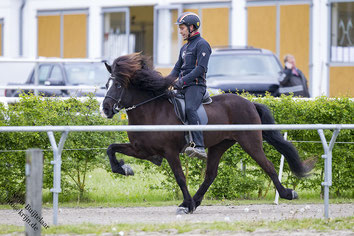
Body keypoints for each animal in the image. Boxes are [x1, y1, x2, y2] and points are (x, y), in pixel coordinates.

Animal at [100, 53, 316, 214]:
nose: (106, 109)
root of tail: (249, 102)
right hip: (219, 145)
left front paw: (186, 204)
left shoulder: (170, 152)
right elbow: (111, 149)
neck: (151, 111)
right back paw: (196, 201)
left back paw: (287, 193)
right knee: (211, 174)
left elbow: (180, 177)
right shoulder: (141, 150)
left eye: (118, 85)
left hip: (250, 142)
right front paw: (124, 168)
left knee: (268, 166)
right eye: (106, 85)